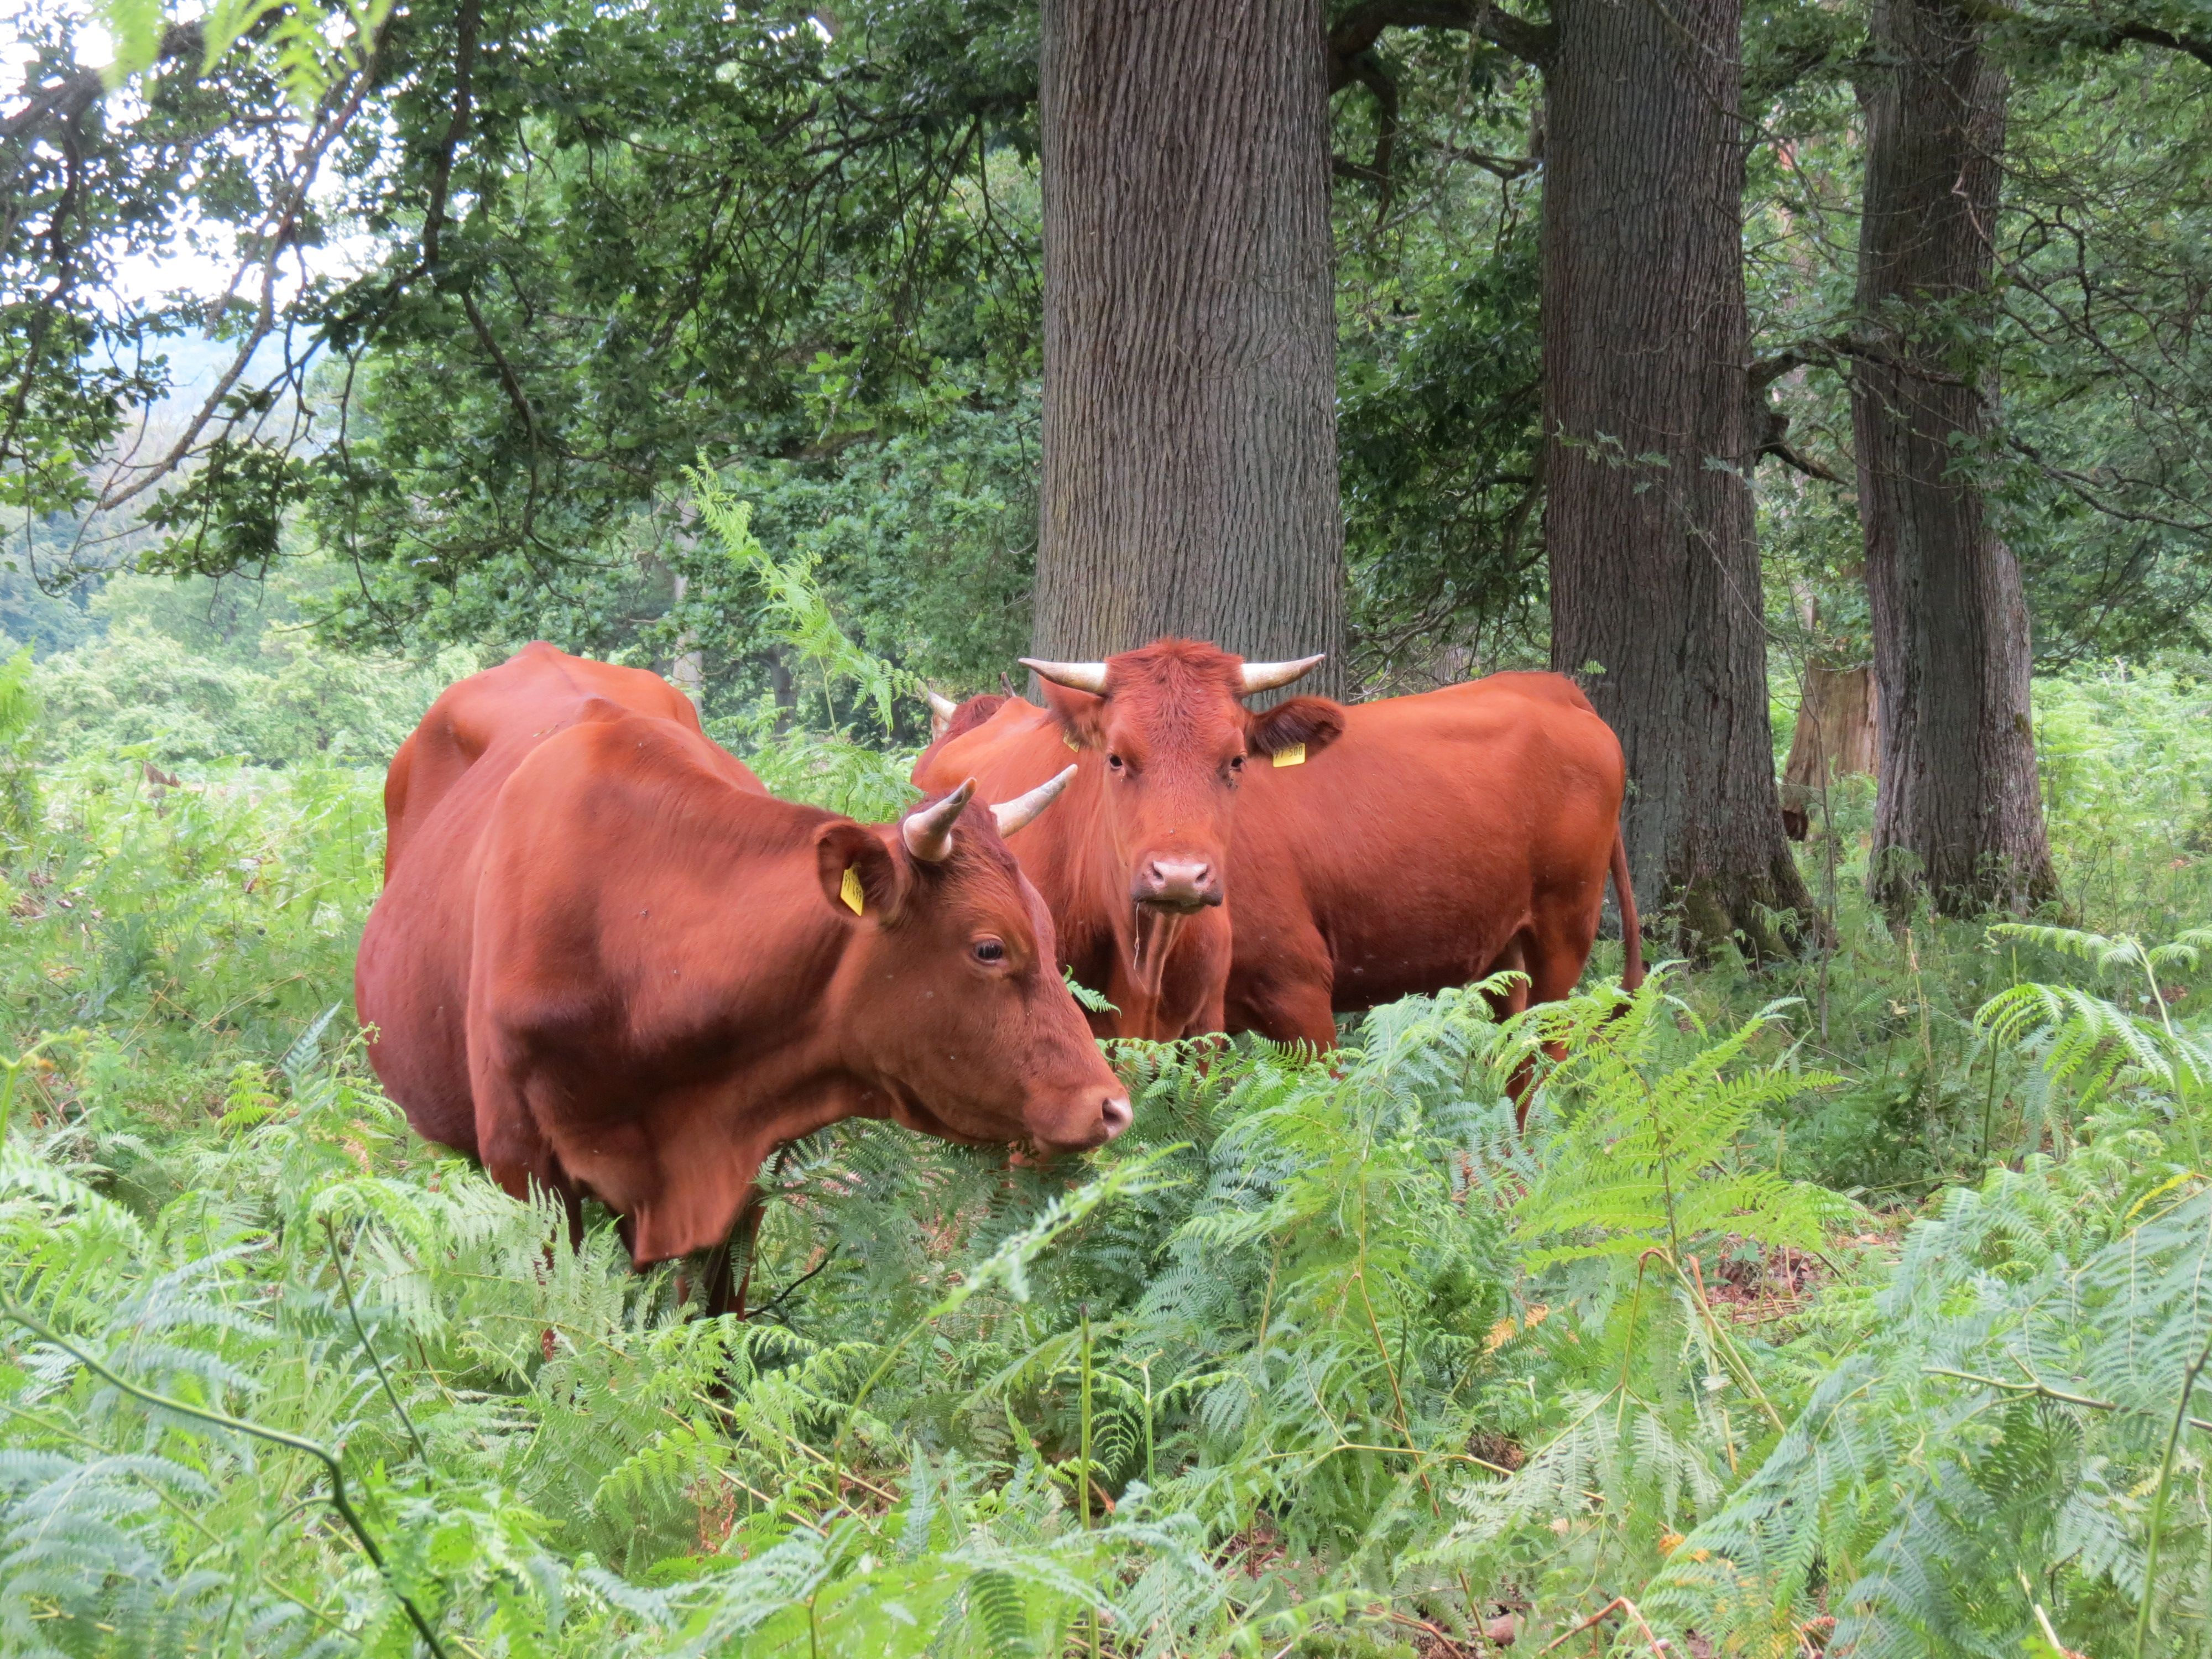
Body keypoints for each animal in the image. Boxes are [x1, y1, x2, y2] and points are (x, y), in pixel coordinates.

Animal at [913, 641, 1643, 1117]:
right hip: (1504, 956)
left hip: (1563, 935)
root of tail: (1552, 689)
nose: (1180, 875)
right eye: (1116, 758)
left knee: (1538, 1066)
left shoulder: (1295, 995)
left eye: (1236, 760)